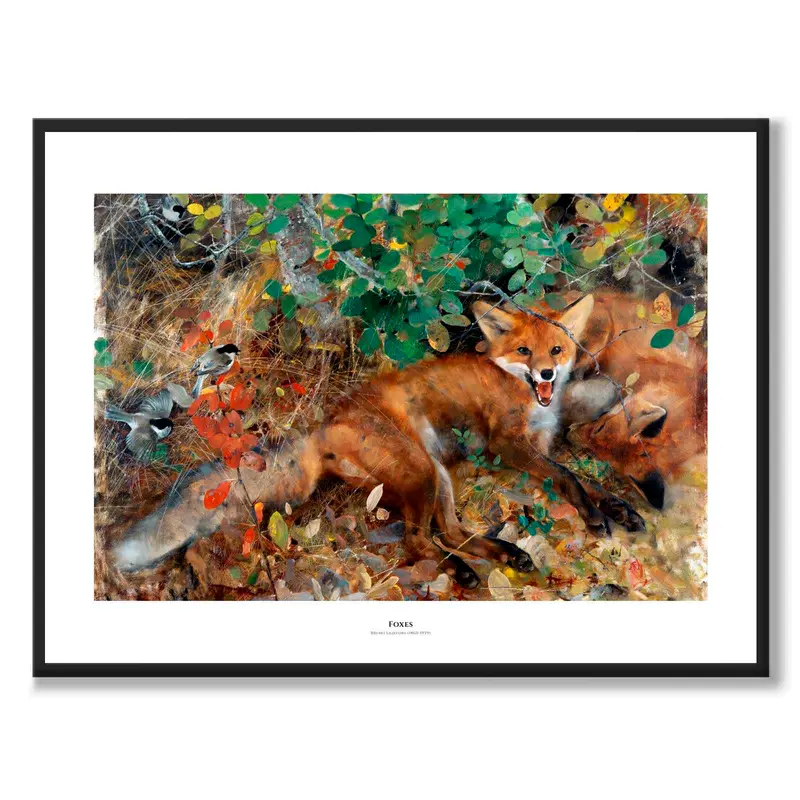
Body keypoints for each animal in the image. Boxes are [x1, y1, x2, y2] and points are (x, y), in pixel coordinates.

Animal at [111, 294, 645, 587]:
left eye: (556, 349)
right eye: (524, 352)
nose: (548, 374)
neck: (525, 396)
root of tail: (323, 424)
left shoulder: (540, 445)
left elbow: (587, 479)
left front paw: (621, 509)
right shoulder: (509, 445)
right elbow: (571, 477)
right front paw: (596, 517)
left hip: (437, 474)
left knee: (449, 532)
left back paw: (503, 555)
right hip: (422, 471)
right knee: (418, 539)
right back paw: (462, 572)